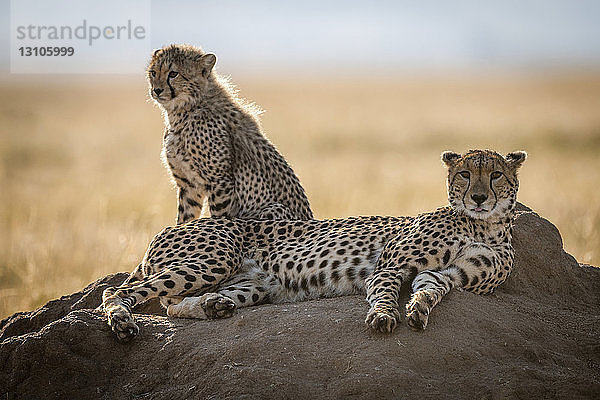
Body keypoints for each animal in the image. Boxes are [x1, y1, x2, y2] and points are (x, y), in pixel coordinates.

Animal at [102, 150, 524, 340]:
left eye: (496, 175)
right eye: (465, 174)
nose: (479, 198)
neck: (484, 225)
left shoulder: (447, 275)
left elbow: (429, 289)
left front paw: (418, 310)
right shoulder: (390, 264)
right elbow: (385, 292)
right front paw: (383, 317)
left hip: (254, 284)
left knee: (175, 304)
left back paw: (213, 306)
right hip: (214, 258)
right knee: (122, 292)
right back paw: (122, 321)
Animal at [147, 45, 312, 225]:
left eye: (173, 73)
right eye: (153, 72)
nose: (157, 90)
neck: (184, 110)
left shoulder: (220, 182)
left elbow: (219, 216)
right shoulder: (189, 185)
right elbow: (184, 218)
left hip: (274, 208)